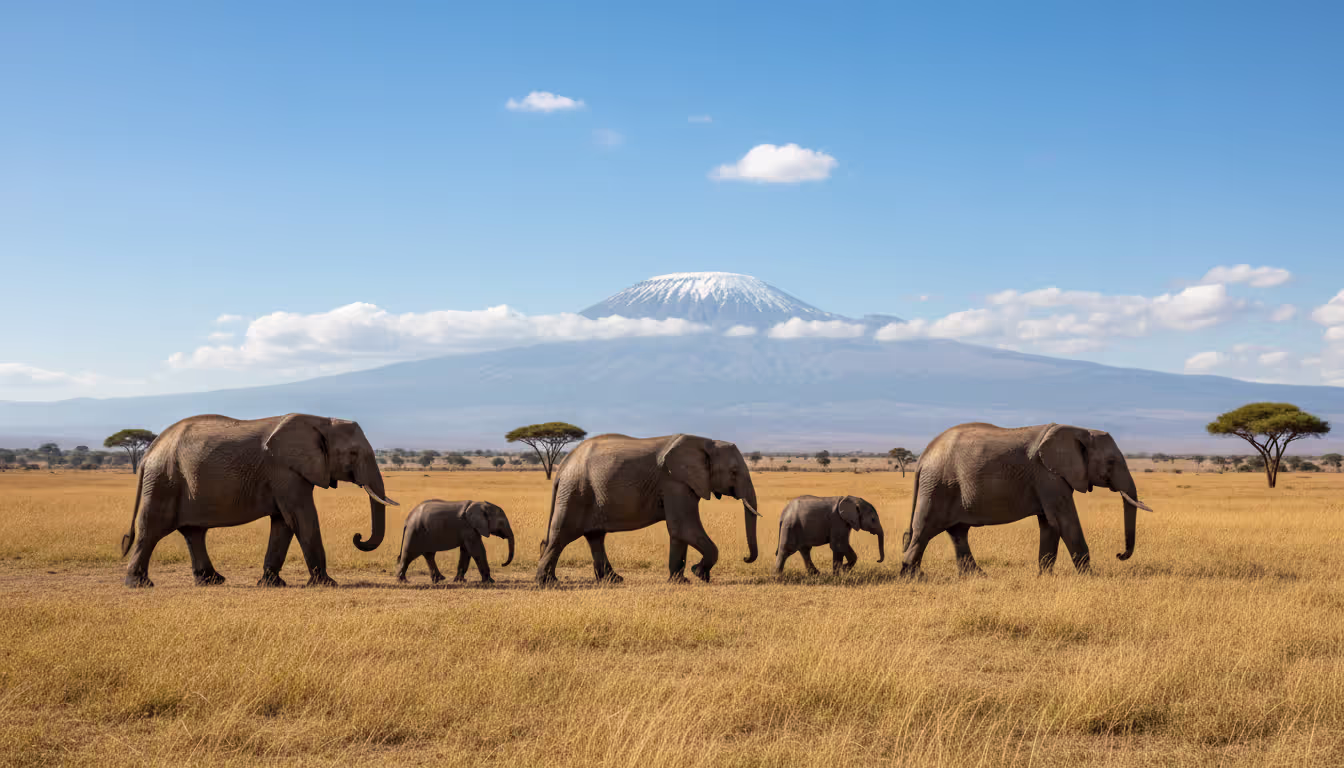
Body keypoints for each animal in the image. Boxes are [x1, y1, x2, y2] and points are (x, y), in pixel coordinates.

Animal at [119, 413, 398, 588]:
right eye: (353, 453)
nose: (357, 537)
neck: (321, 421)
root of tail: (148, 454)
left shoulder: (287, 475)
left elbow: (284, 523)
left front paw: (272, 584)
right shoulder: (284, 470)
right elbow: (302, 518)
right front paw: (327, 584)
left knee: (194, 532)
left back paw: (212, 581)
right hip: (163, 481)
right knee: (152, 528)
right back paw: (140, 584)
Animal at [536, 433, 760, 585]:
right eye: (733, 472)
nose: (745, 558)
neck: (706, 441)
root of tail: (563, 465)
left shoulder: (682, 483)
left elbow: (679, 531)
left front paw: (680, 581)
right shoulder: (674, 481)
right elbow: (683, 527)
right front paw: (699, 573)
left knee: (595, 536)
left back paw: (613, 580)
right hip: (576, 491)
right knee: (562, 534)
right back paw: (547, 582)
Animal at [899, 422, 1153, 578]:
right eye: (1111, 462)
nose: (1120, 555)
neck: (1080, 430)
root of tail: (923, 456)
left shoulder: (1050, 479)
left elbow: (1050, 524)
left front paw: (1044, 577)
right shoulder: (1048, 475)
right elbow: (1064, 521)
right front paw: (1090, 578)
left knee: (957, 532)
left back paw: (977, 577)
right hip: (937, 486)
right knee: (924, 531)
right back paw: (912, 577)